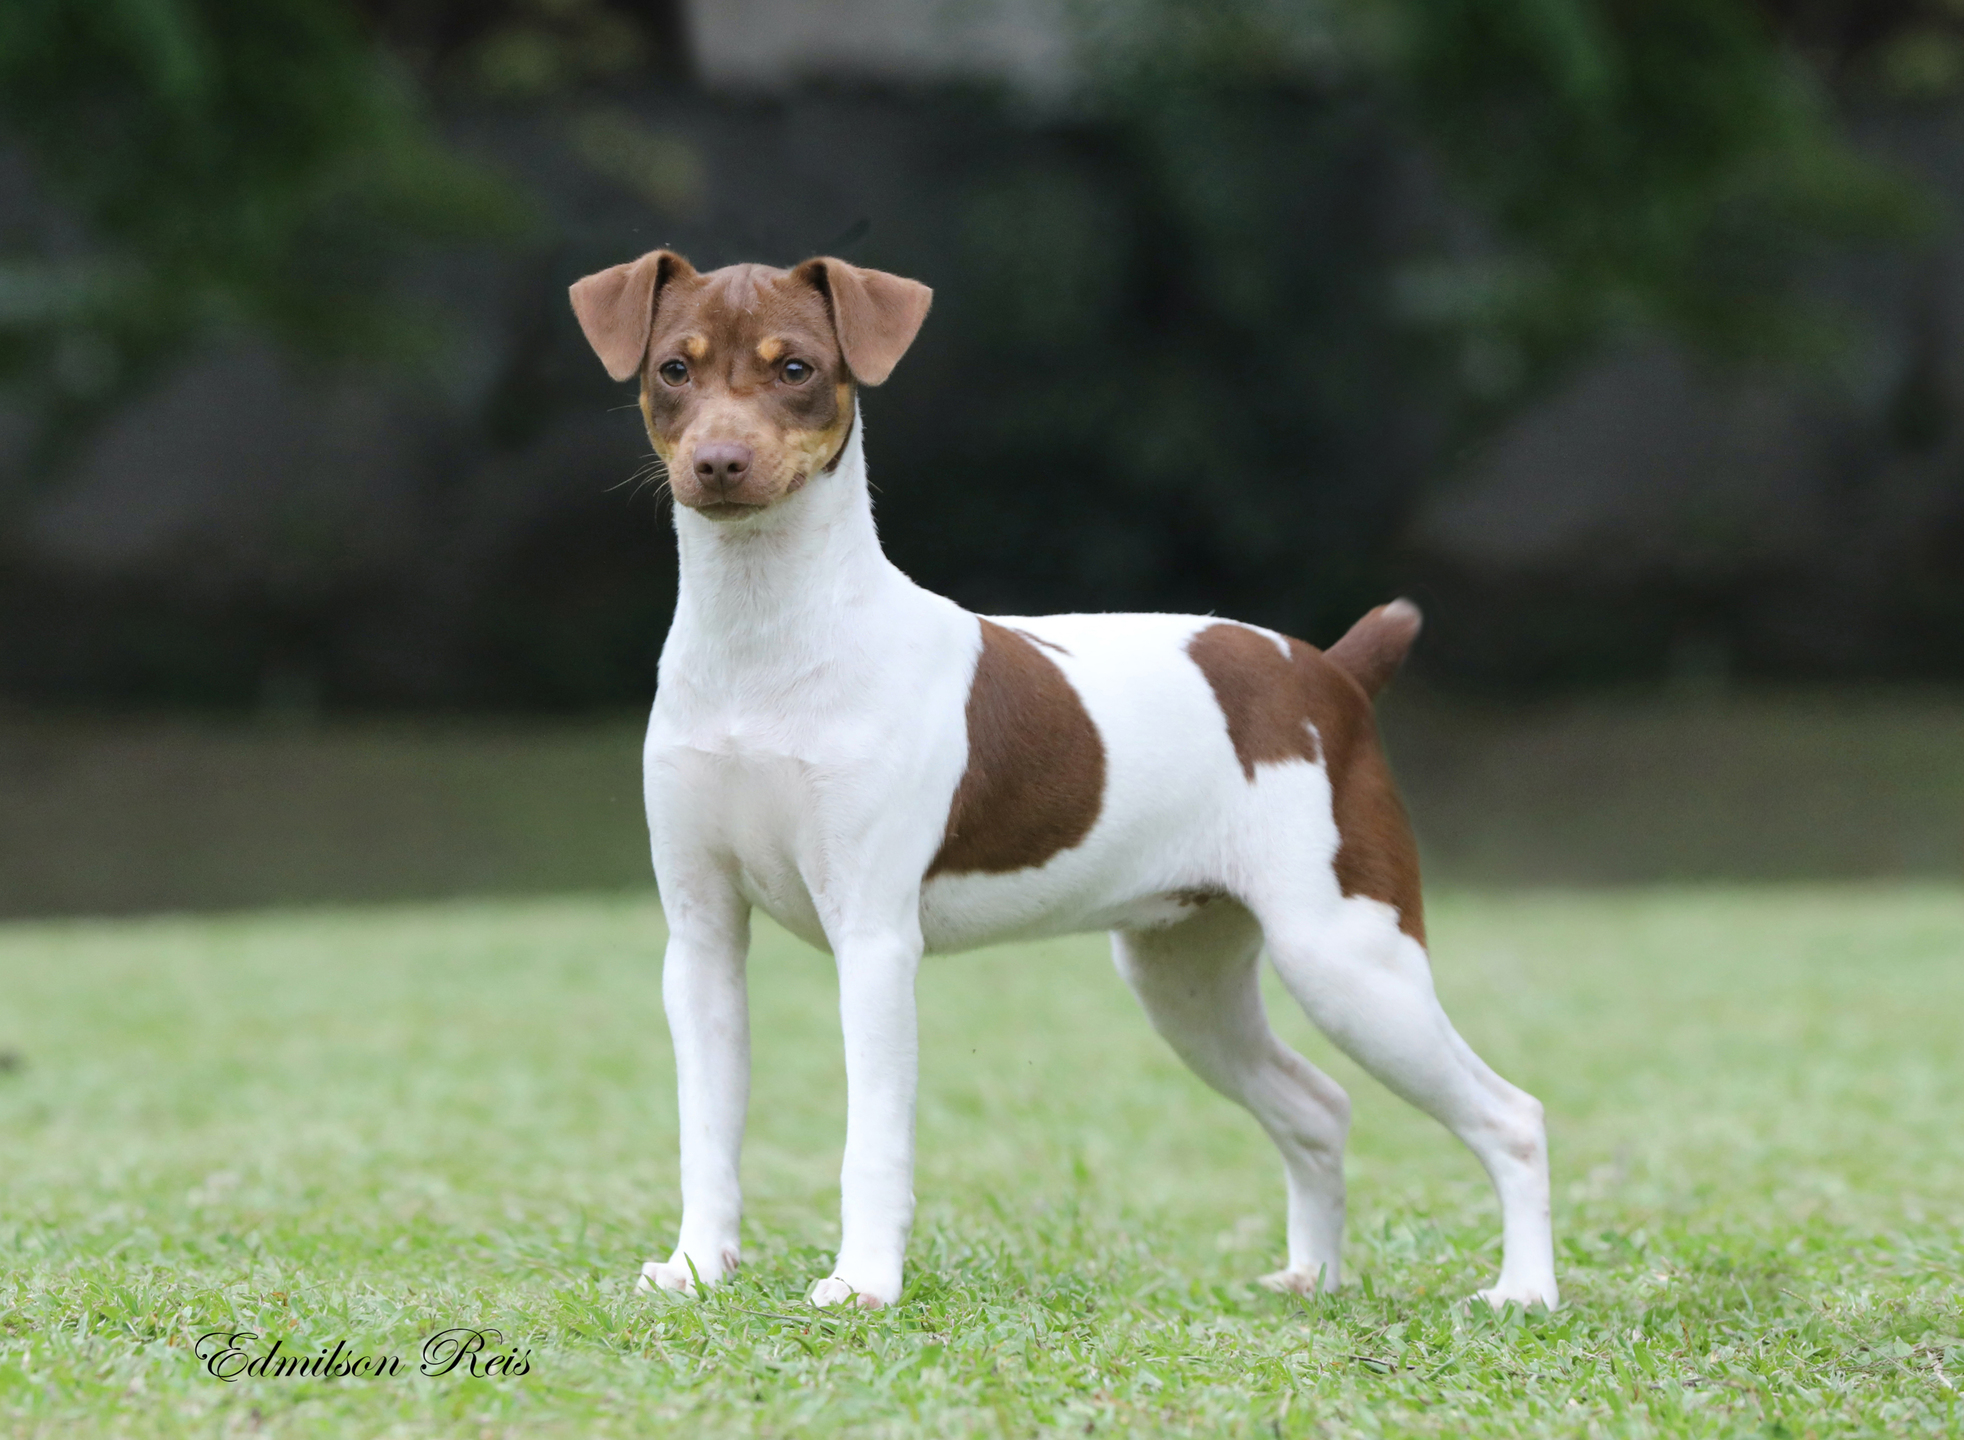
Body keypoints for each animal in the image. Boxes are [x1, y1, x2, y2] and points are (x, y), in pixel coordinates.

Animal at [569, 249, 1563, 1312]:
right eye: (673, 370)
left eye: (795, 368)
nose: (718, 462)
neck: (766, 646)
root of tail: (1331, 674)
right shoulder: (701, 937)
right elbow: (706, 1129)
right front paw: (694, 1269)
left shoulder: (874, 941)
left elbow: (872, 1137)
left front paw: (864, 1285)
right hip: (1188, 977)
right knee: (1318, 1105)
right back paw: (1311, 1277)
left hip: (1348, 955)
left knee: (1510, 1114)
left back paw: (1524, 1293)